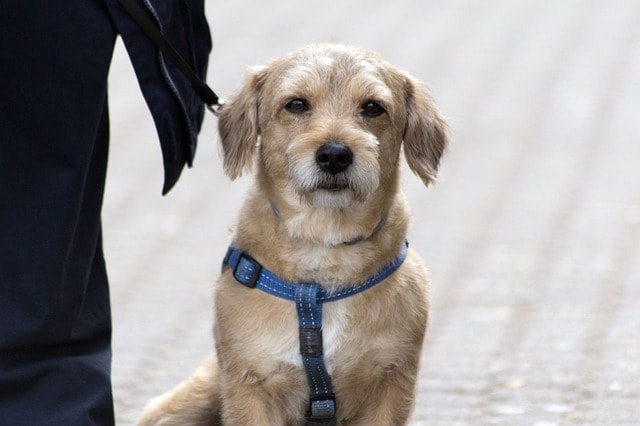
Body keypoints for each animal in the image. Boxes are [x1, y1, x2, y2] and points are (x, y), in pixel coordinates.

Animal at [136, 44, 444, 426]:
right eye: (296, 104)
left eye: (372, 107)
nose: (335, 155)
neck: (324, 247)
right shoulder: (250, 383)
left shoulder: (392, 379)